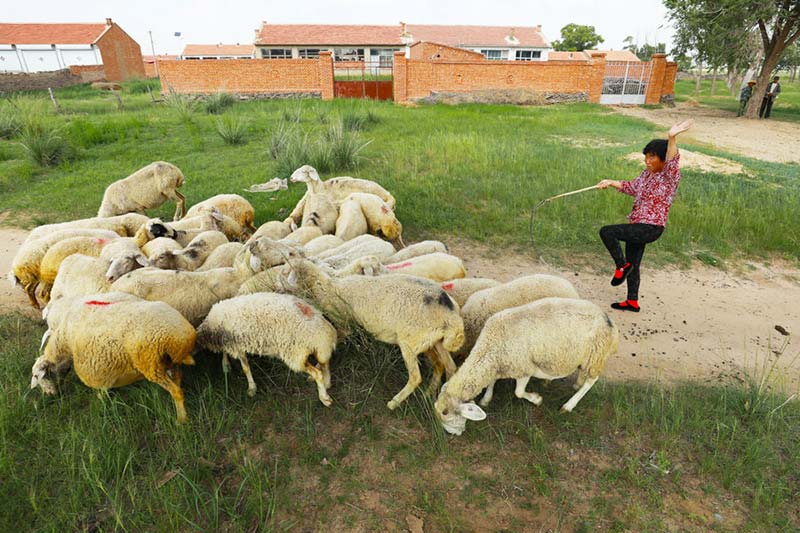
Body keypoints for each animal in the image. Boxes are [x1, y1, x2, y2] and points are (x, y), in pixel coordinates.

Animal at [31, 295, 197, 423]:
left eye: (38, 377)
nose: (50, 395)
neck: (63, 343)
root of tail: (181, 337)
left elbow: (102, 387)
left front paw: (101, 399)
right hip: (169, 362)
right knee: (178, 380)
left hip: (151, 364)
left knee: (176, 391)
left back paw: (181, 420)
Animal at [197, 293, 337, 404]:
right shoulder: (229, 342)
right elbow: (225, 353)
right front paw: (226, 365)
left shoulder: (236, 344)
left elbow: (245, 368)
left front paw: (251, 388)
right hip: (319, 350)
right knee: (325, 363)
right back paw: (328, 383)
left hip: (296, 353)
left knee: (317, 373)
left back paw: (324, 398)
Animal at [287, 257, 464, 410]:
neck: (330, 286)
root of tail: (452, 316)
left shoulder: (344, 325)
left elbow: (332, 347)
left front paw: (318, 373)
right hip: (434, 341)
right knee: (449, 367)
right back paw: (432, 395)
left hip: (409, 342)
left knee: (416, 377)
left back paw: (394, 402)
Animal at [435, 298, 619, 435]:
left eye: (445, 413)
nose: (453, 434)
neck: (490, 347)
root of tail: (608, 320)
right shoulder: (500, 363)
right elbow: (492, 382)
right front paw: (486, 399)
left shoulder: (523, 368)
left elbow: (518, 392)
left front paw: (537, 399)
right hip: (585, 356)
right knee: (583, 373)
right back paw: (576, 384)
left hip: (596, 354)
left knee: (592, 380)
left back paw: (569, 405)